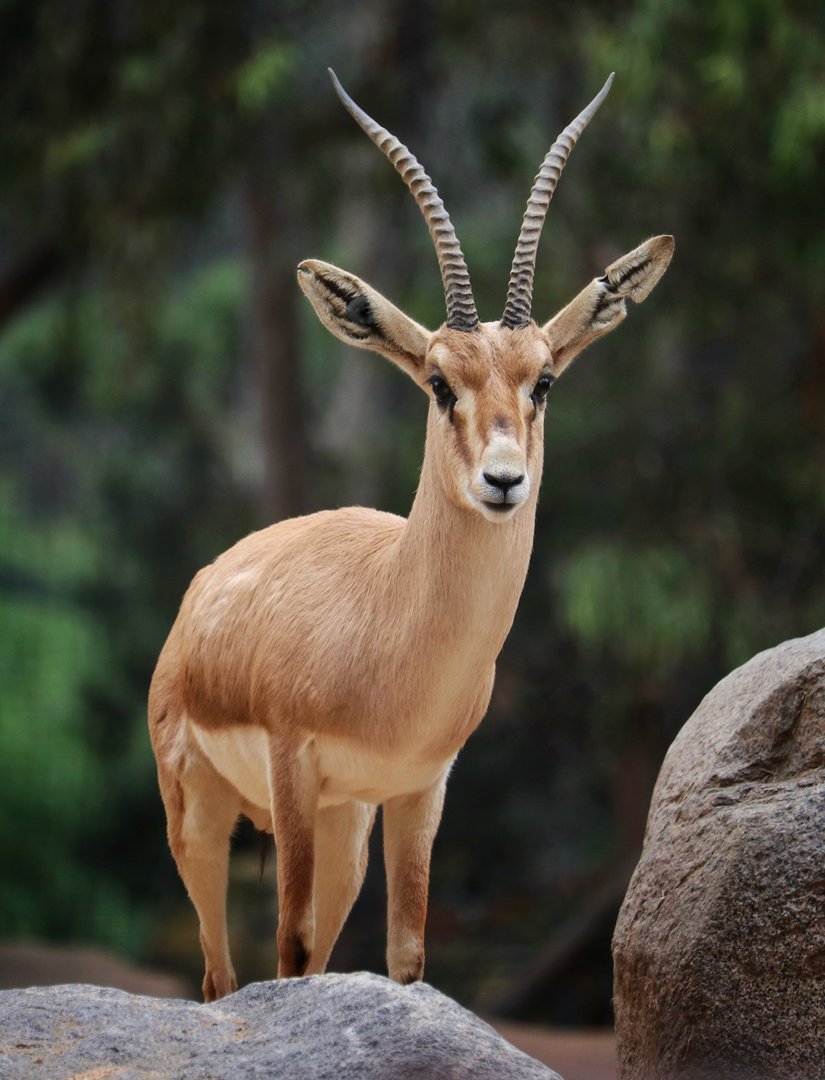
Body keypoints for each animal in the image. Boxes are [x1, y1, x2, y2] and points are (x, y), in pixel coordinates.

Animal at [148, 68, 673, 1002]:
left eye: (542, 380)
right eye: (437, 381)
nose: (503, 480)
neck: (385, 614)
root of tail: (202, 590)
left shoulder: (420, 788)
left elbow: (406, 959)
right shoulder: (292, 769)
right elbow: (288, 944)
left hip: (346, 828)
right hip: (201, 816)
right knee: (220, 974)